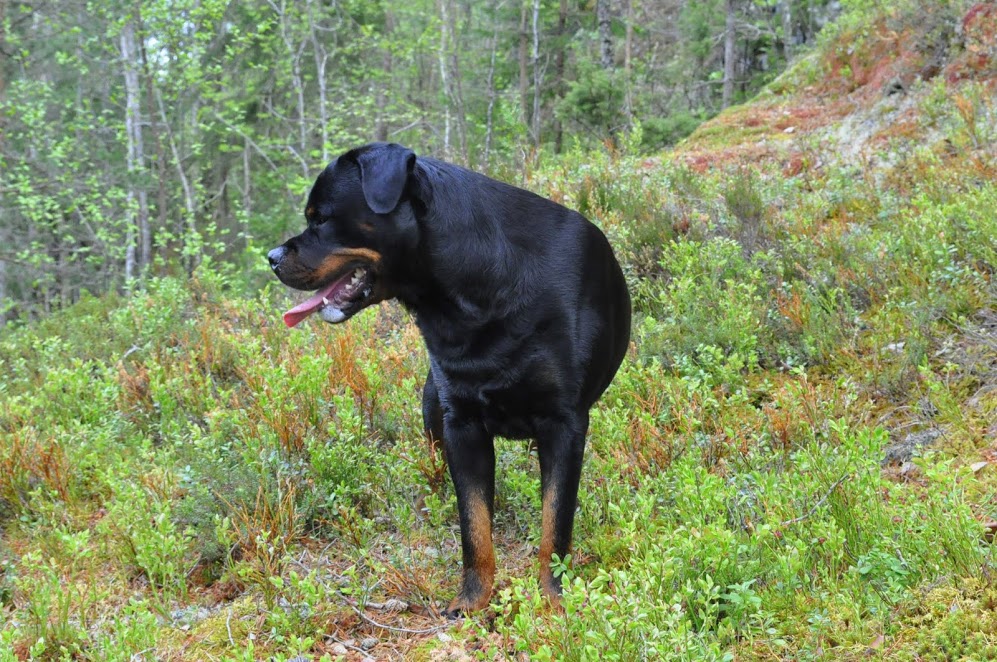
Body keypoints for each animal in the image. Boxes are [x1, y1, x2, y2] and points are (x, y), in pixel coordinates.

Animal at [268, 142, 631, 617]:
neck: (475, 291)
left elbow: (556, 525)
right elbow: (473, 526)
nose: (271, 257)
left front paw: (552, 600)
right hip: (431, 410)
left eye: (321, 218)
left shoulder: (564, 423)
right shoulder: (461, 424)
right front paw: (473, 600)